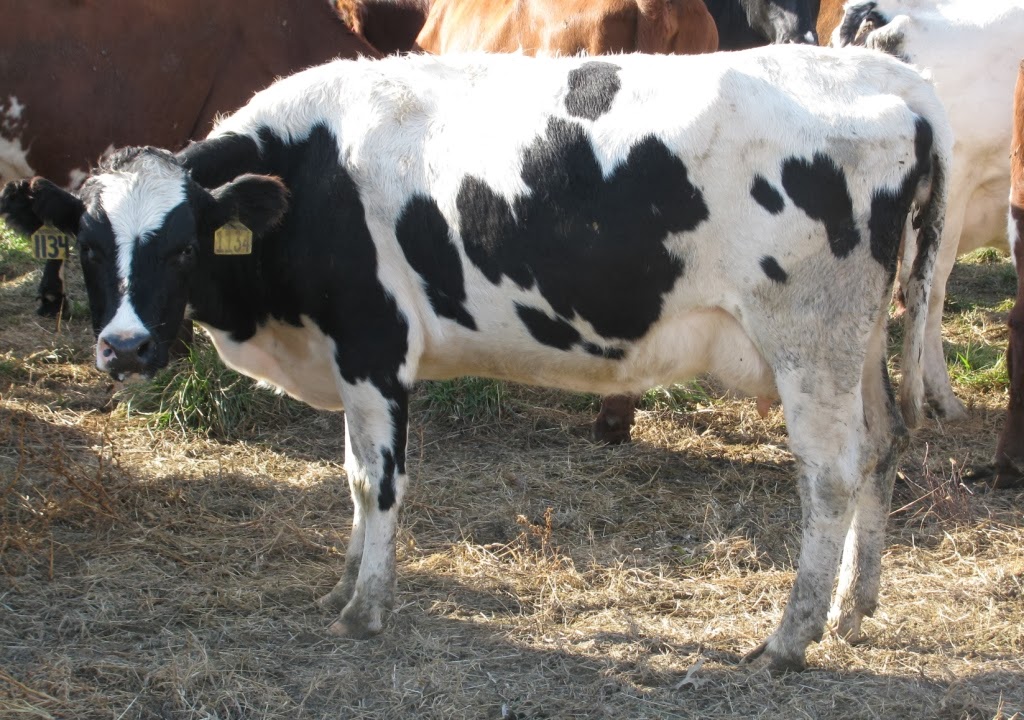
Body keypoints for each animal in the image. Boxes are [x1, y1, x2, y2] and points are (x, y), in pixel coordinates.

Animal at [0, 46, 950, 672]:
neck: (310, 175)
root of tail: (895, 81)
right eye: (89, 245)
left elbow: (376, 481)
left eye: (182, 244)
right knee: (884, 447)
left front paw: (367, 610)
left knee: (830, 478)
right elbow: (351, 476)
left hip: (809, 343)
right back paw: (853, 611)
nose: (126, 346)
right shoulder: (348, 361)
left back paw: (788, 639)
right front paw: (342, 587)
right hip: (857, 344)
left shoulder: (377, 347)